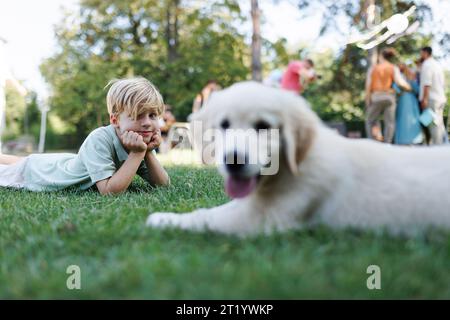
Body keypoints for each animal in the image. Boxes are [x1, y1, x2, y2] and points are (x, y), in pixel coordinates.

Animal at [147, 80, 450, 235]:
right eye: (224, 125)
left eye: (263, 126)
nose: (233, 161)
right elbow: (215, 209)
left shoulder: (263, 219)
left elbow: (207, 219)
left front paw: (162, 219)